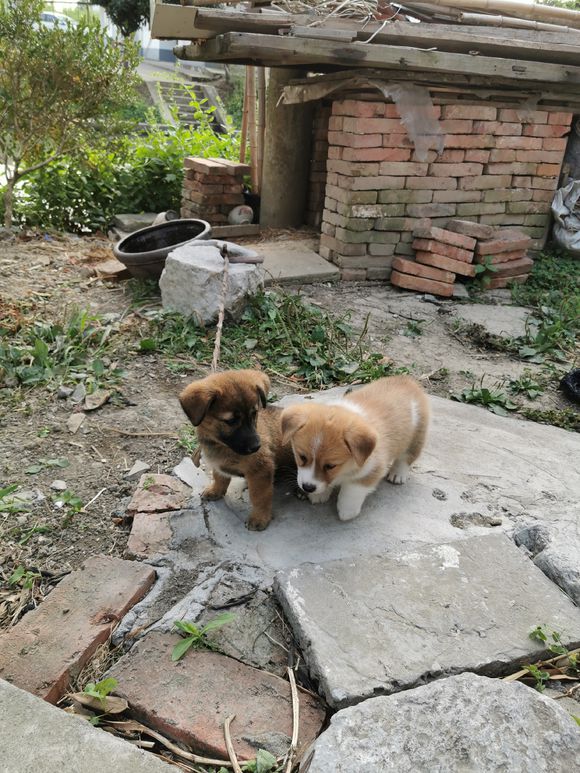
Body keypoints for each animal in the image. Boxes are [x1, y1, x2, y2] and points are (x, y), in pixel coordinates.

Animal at [178, 370, 294, 532]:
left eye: (254, 414)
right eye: (231, 421)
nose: (257, 447)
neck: (221, 445)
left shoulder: (261, 470)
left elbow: (260, 497)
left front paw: (259, 518)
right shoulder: (219, 466)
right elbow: (220, 478)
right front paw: (216, 491)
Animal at [280, 374, 430, 520]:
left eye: (330, 466)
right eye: (302, 457)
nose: (308, 487)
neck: (347, 467)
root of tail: (407, 380)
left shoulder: (372, 469)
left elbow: (353, 490)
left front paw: (347, 511)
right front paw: (319, 495)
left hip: (416, 436)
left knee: (406, 457)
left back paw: (397, 474)